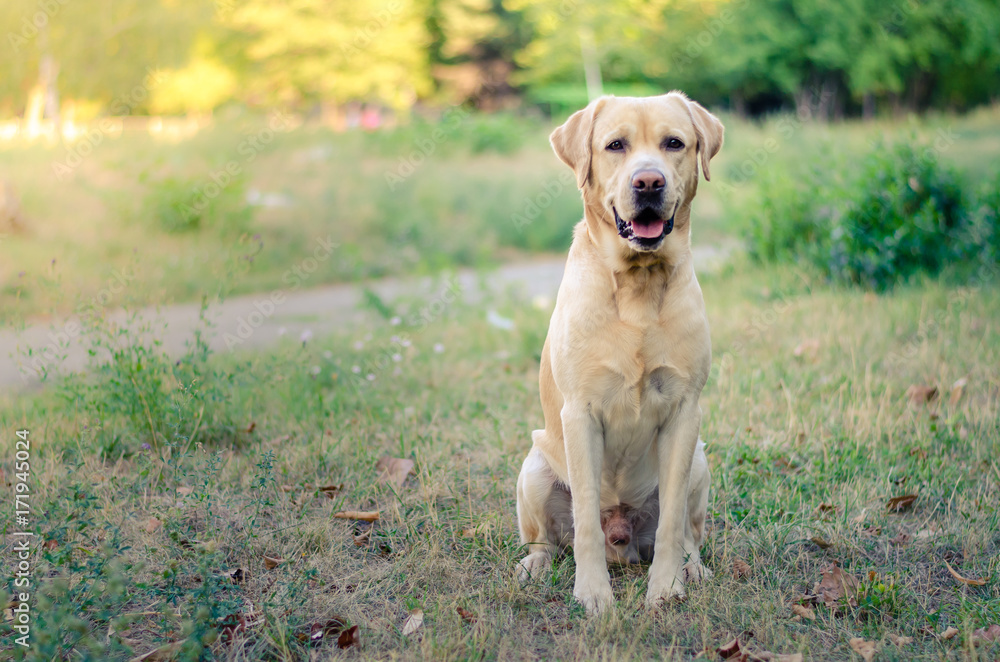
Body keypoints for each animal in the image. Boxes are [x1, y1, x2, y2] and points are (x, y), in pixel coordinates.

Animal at [516, 93, 720, 616]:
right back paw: (534, 566)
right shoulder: (580, 413)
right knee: (546, 539)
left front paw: (666, 588)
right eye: (615, 146)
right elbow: (586, 517)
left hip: (699, 460)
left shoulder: (685, 411)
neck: (638, 285)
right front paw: (592, 593)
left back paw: (694, 568)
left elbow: (671, 524)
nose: (648, 182)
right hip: (534, 467)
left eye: (674, 143)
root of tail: (622, 538)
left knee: (689, 534)